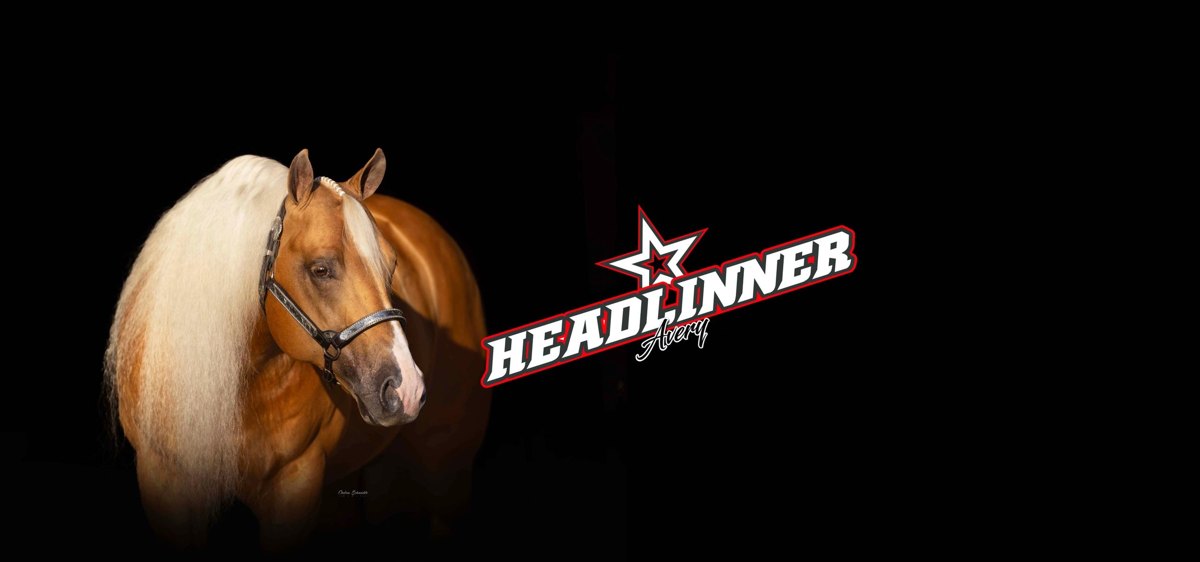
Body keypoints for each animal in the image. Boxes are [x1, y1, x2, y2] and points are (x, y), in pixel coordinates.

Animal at [104, 149, 491, 549]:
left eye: (392, 267)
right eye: (320, 269)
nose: (407, 389)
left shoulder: (294, 485)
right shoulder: (165, 482)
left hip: (446, 469)